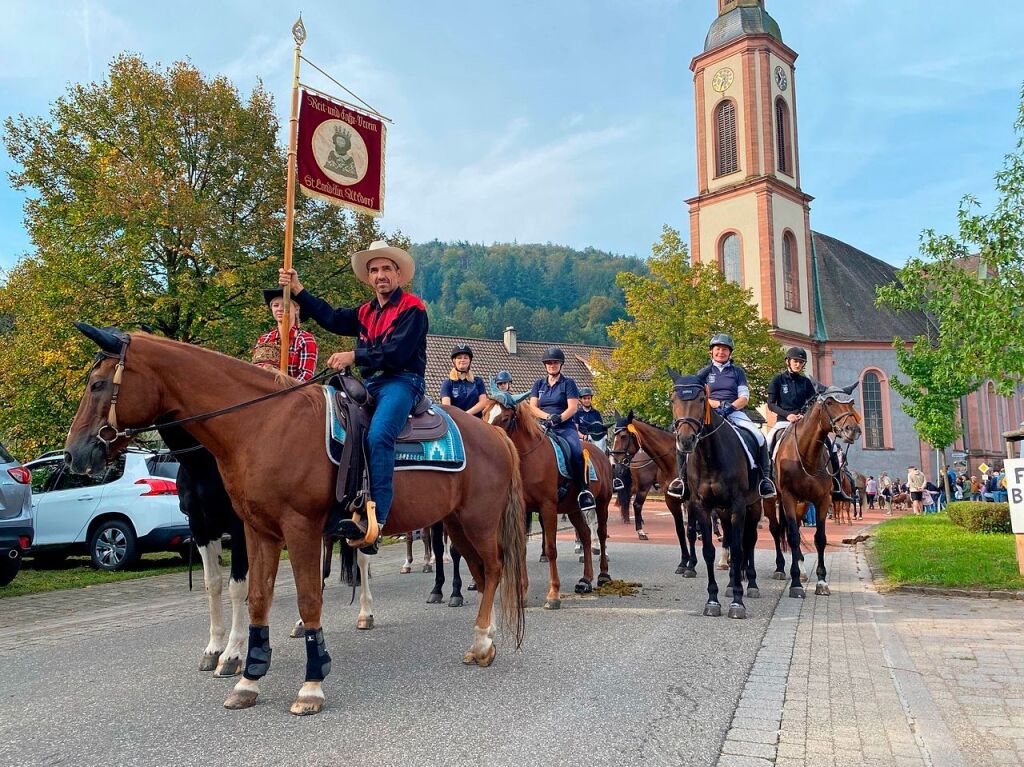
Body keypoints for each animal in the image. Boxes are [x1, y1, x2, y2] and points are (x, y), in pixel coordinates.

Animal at [64, 325, 528, 716]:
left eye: (98, 384)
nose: (74, 455)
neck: (261, 425)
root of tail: (494, 435)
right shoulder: (255, 531)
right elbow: (254, 597)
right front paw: (248, 678)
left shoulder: (298, 528)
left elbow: (308, 598)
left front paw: (310, 684)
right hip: (455, 524)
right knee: (483, 573)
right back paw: (481, 642)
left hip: (476, 522)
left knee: (494, 569)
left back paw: (481, 642)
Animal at [483, 391, 610, 606]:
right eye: (484, 413)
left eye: (505, 418)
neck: (529, 459)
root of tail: (601, 455)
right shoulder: (523, 510)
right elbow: (521, 550)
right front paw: (522, 593)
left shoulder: (547, 507)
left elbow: (551, 548)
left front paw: (554, 594)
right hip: (573, 509)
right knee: (585, 535)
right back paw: (585, 580)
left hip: (602, 504)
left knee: (600, 535)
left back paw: (603, 576)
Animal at [610, 413, 700, 573]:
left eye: (623, 436)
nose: (615, 462)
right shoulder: (672, 499)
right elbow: (683, 530)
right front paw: (687, 563)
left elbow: (689, 530)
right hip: (643, 487)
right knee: (635, 504)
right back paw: (639, 530)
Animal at [667, 368, 765, 618]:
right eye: (673, 399)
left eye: (702, 399)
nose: (686, 440)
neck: (710, 458)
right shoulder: (703, 507)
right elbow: (709, 551)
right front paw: (713, 600)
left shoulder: (738, 506)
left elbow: (739, 550)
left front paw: (738, 603)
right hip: (722, 511)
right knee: (730, 538)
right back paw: (731, 584)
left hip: (753, 506)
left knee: (749, 541)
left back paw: (751, 585)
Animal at [770, 382, 860, 598]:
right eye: (829, 402)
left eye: (851, 403)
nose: (852, 429)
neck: (806, 454)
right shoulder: (788, 497)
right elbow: (793, 536)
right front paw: (795, 584)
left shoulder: (822, 500)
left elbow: (820, 538)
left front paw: (821, 581)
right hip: (771, 501)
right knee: (777, 530)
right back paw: (780, 568)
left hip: (802, 503)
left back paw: (801, 569)